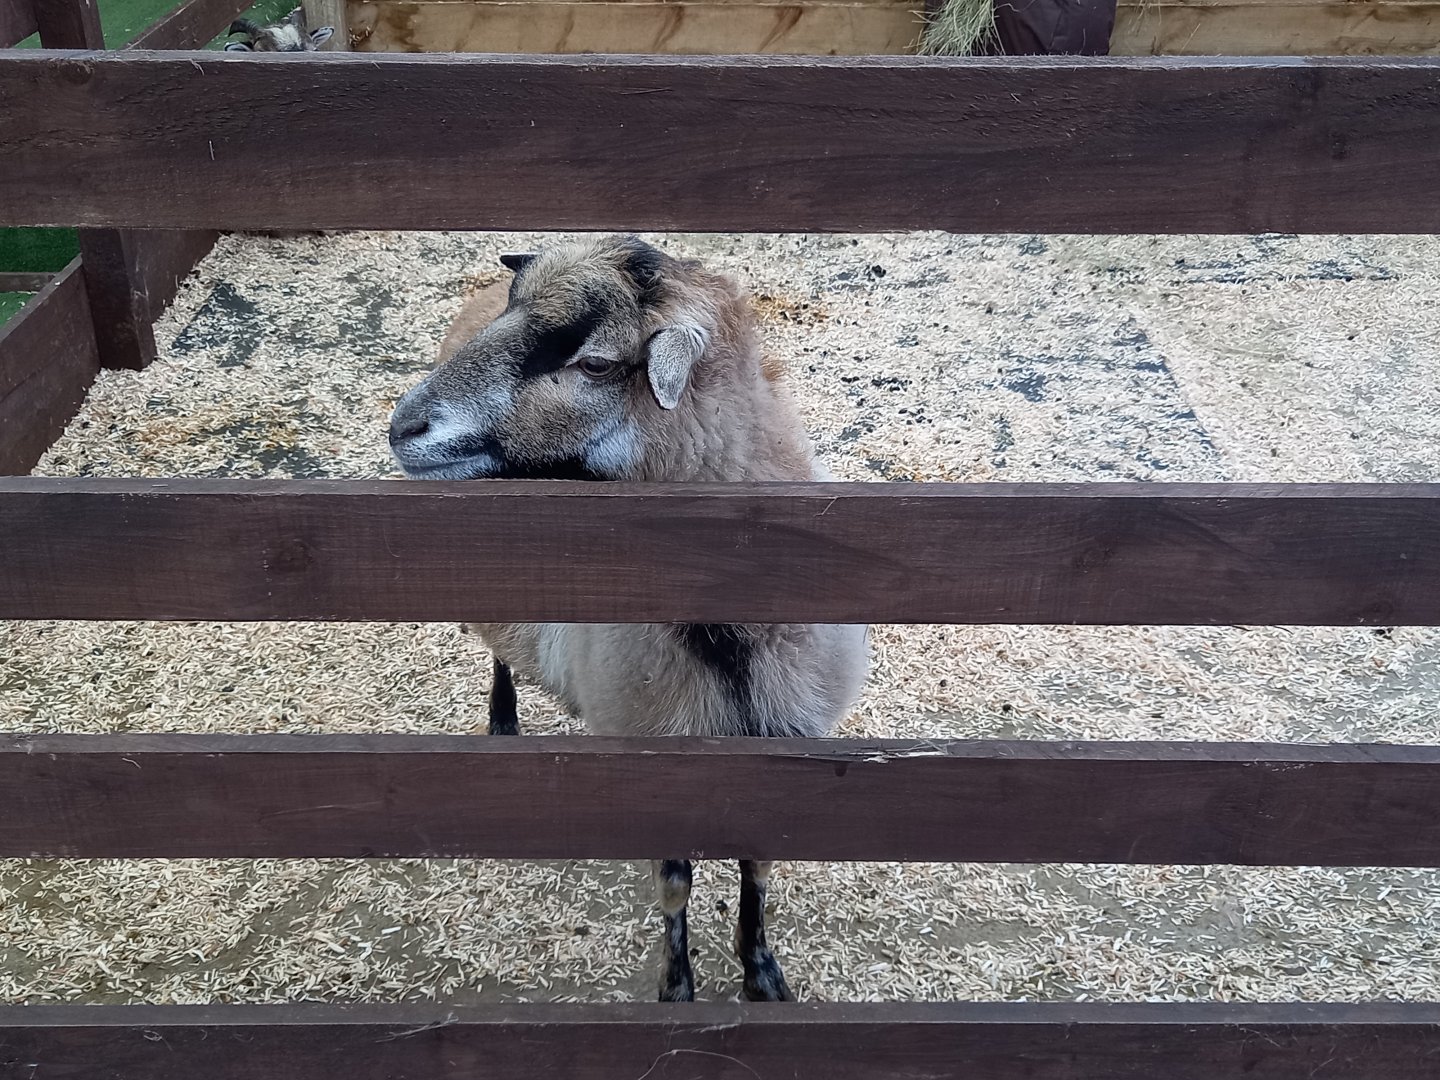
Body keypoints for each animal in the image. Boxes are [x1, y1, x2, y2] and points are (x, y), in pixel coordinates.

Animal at [388, 235, 870, 1002]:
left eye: (594, 363)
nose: (402, 426)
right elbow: (674, 889)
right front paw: (678, 989)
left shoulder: (782, 742)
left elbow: (759, 867)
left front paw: (761, 973)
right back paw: (502, 720)